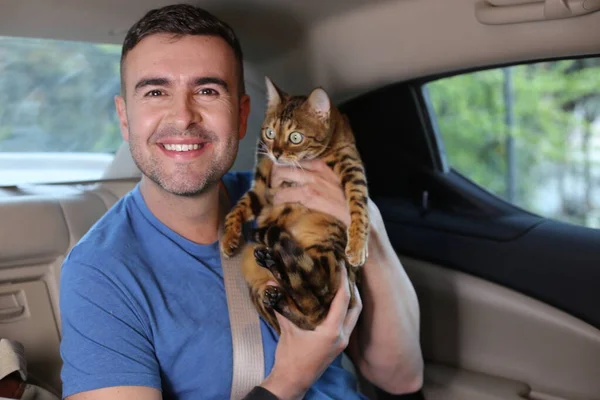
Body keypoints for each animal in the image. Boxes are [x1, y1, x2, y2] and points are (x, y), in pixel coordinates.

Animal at [221, 76, 370, 332]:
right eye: (270, 132)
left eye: (295, 137)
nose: (276, 153)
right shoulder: (261, 184)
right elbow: (238, 208)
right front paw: (229, 237)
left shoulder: (352, 167)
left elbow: (359, 205)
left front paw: (358, 246)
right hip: (258, 281)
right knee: (304, 307)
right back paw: (273, 277)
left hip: (328, 248)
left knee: (315, 290)